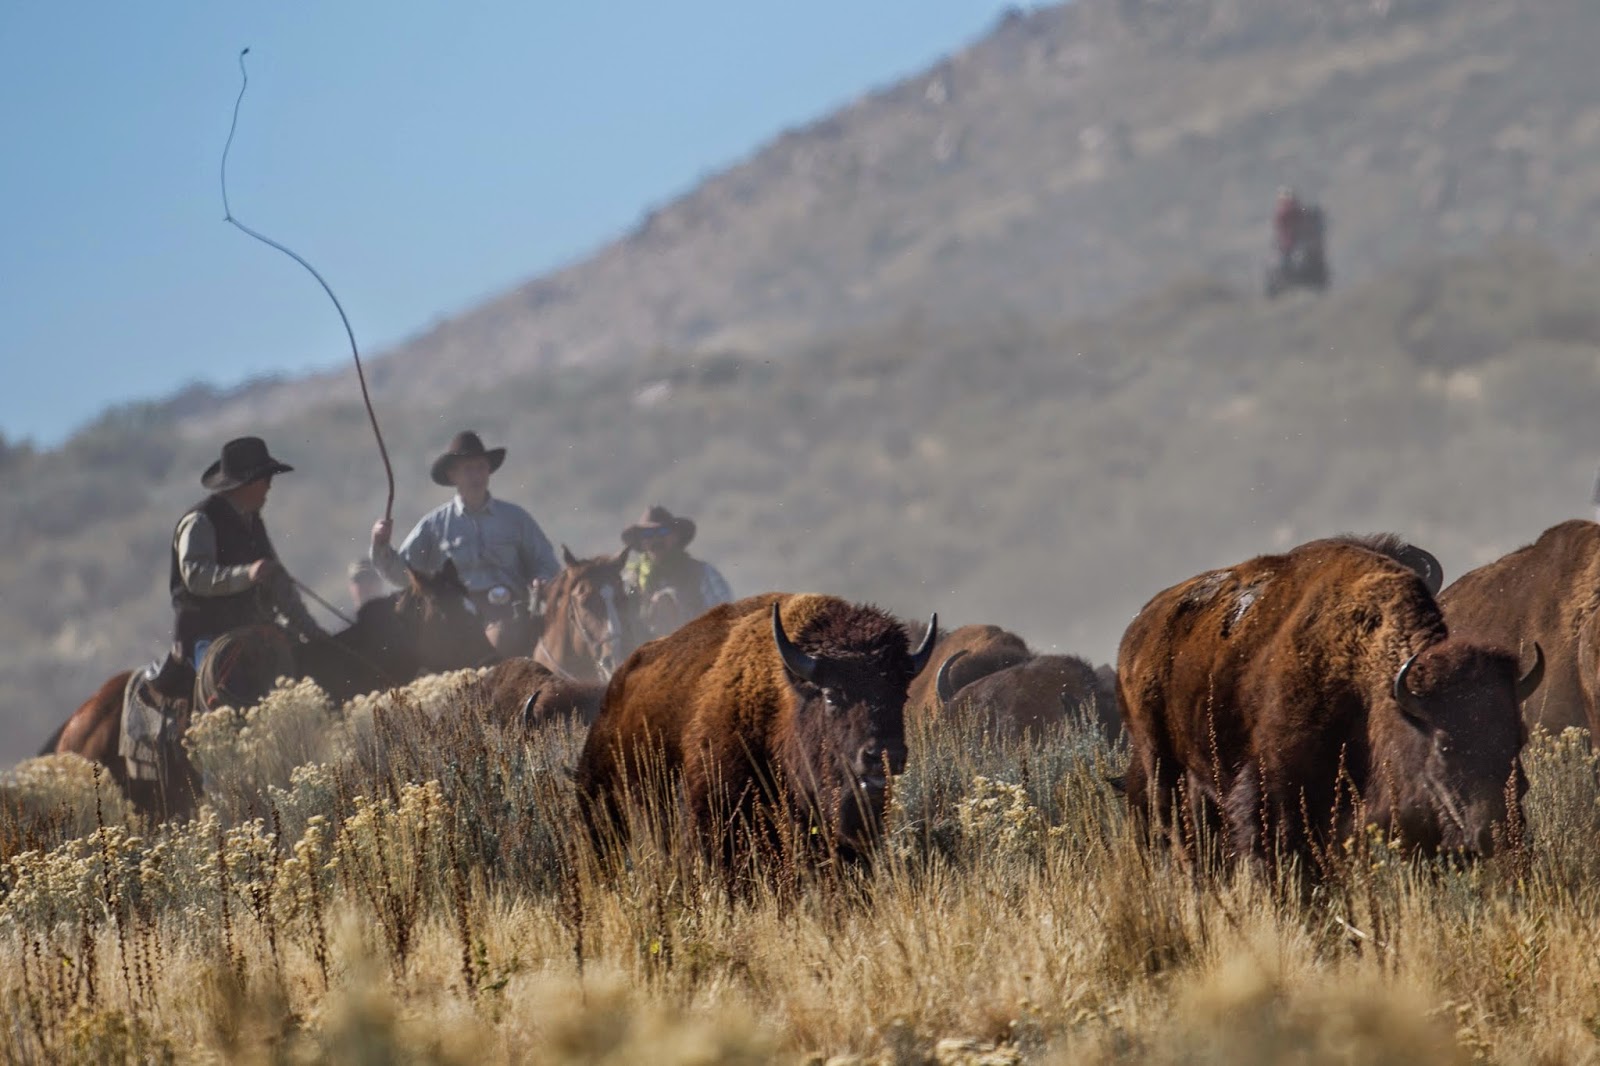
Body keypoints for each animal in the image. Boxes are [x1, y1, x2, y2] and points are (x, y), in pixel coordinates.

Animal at [1118, 539, 1541, 870]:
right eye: (1444, 746)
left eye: (1517, 740)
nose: (1496, 833)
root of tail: (1138, 630)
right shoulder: (1273, 789)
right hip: (1162, 768)